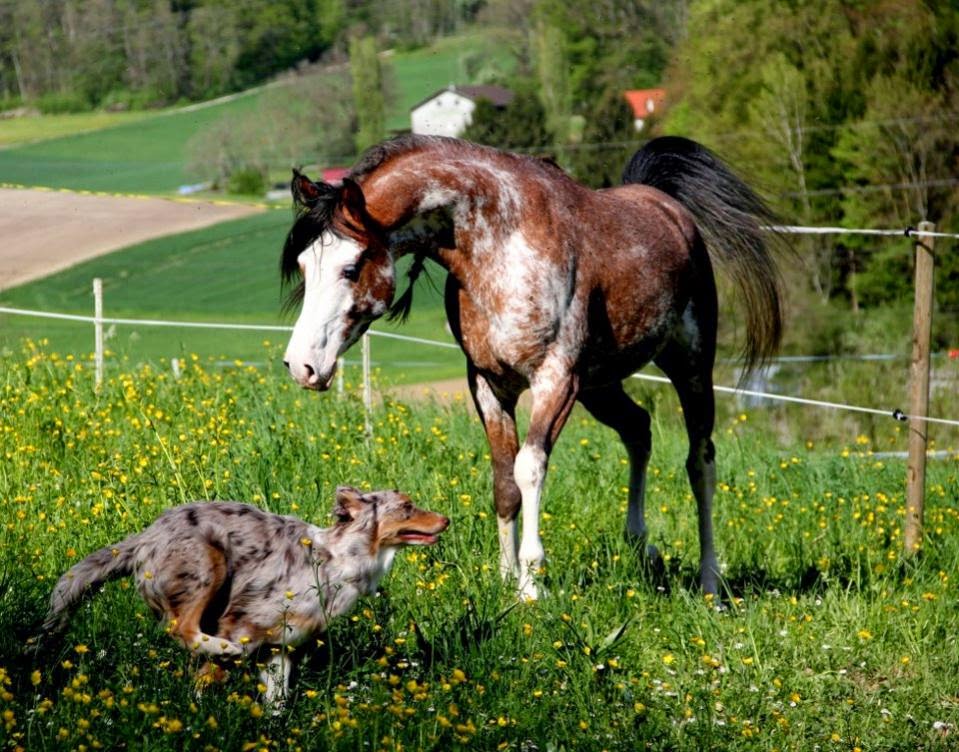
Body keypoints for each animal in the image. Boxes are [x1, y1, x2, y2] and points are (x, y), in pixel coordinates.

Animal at [280, 134, 783, 600]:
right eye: (303, 265)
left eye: (351, 267)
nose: (301, 365)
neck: (502, 244)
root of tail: (671, 211)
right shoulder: (488, 384)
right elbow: (504, 481)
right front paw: (504, 579)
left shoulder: (555, 380)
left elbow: (529, 468)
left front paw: (529, 586)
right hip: (601, 385)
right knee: (638, 429)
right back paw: (641, 543)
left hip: (689, 367)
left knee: (700, 464)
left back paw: (710, 583)